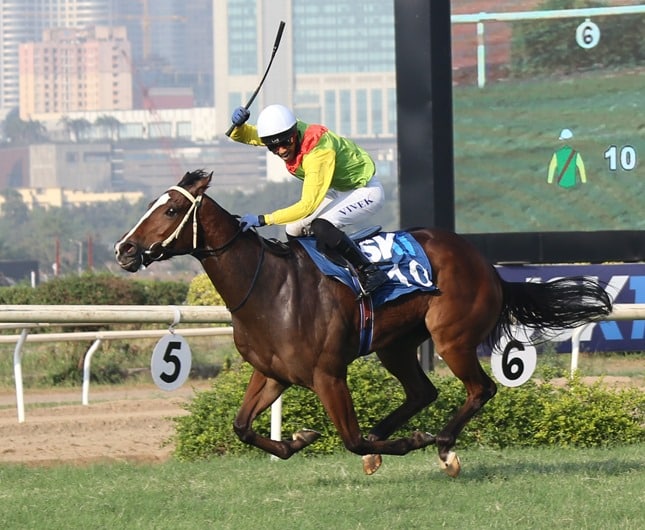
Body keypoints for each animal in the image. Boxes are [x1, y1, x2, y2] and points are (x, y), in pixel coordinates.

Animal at [115, 169, 612, 477]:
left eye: (172, 211)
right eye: (152, 204)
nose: (124, 249)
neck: (269, 287)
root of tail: (487, 266)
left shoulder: (328, 374)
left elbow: (350, 439)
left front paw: (410, 442)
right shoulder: (274, 373)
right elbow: (241, 427)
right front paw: (298, 438)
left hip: (451, 338)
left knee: (480, 389)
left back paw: (442, 445)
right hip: (395, 345)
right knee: (422, 391)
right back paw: (388, 439)